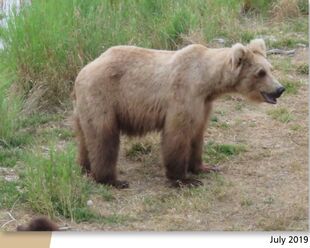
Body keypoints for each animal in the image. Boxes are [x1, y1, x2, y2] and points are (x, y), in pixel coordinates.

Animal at [72, 39, 284, 188]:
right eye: (260, 72)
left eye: (270, 68)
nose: (280, 89)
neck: (207, 82)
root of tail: (83, 71)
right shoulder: (183, 95)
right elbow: (178, 135)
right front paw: (184, 179)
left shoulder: (203, 104)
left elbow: (197, 134)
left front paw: (205, 167)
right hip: (103, 97)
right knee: (104, 137)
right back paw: (112, 180)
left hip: (83, 107)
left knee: (85, 138)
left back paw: (84, 167)